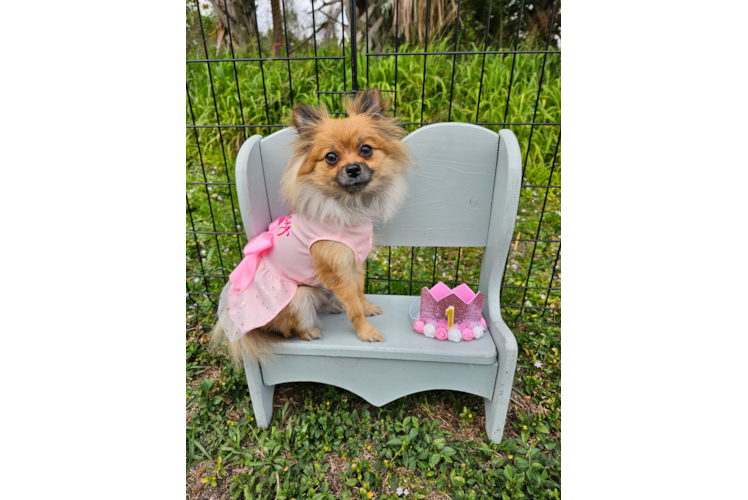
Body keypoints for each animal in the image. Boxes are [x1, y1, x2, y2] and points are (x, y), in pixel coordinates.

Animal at [210, 89, 412, 368]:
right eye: (331, 157)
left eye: (366, 150)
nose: (353, 168)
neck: (348, 206)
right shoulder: (338, 270)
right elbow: (353, 306)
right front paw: (365, 332)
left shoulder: (354, 263)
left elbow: (358, 293)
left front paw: (367, 306)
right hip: (299, 297)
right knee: (290, 331)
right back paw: (310, 331)